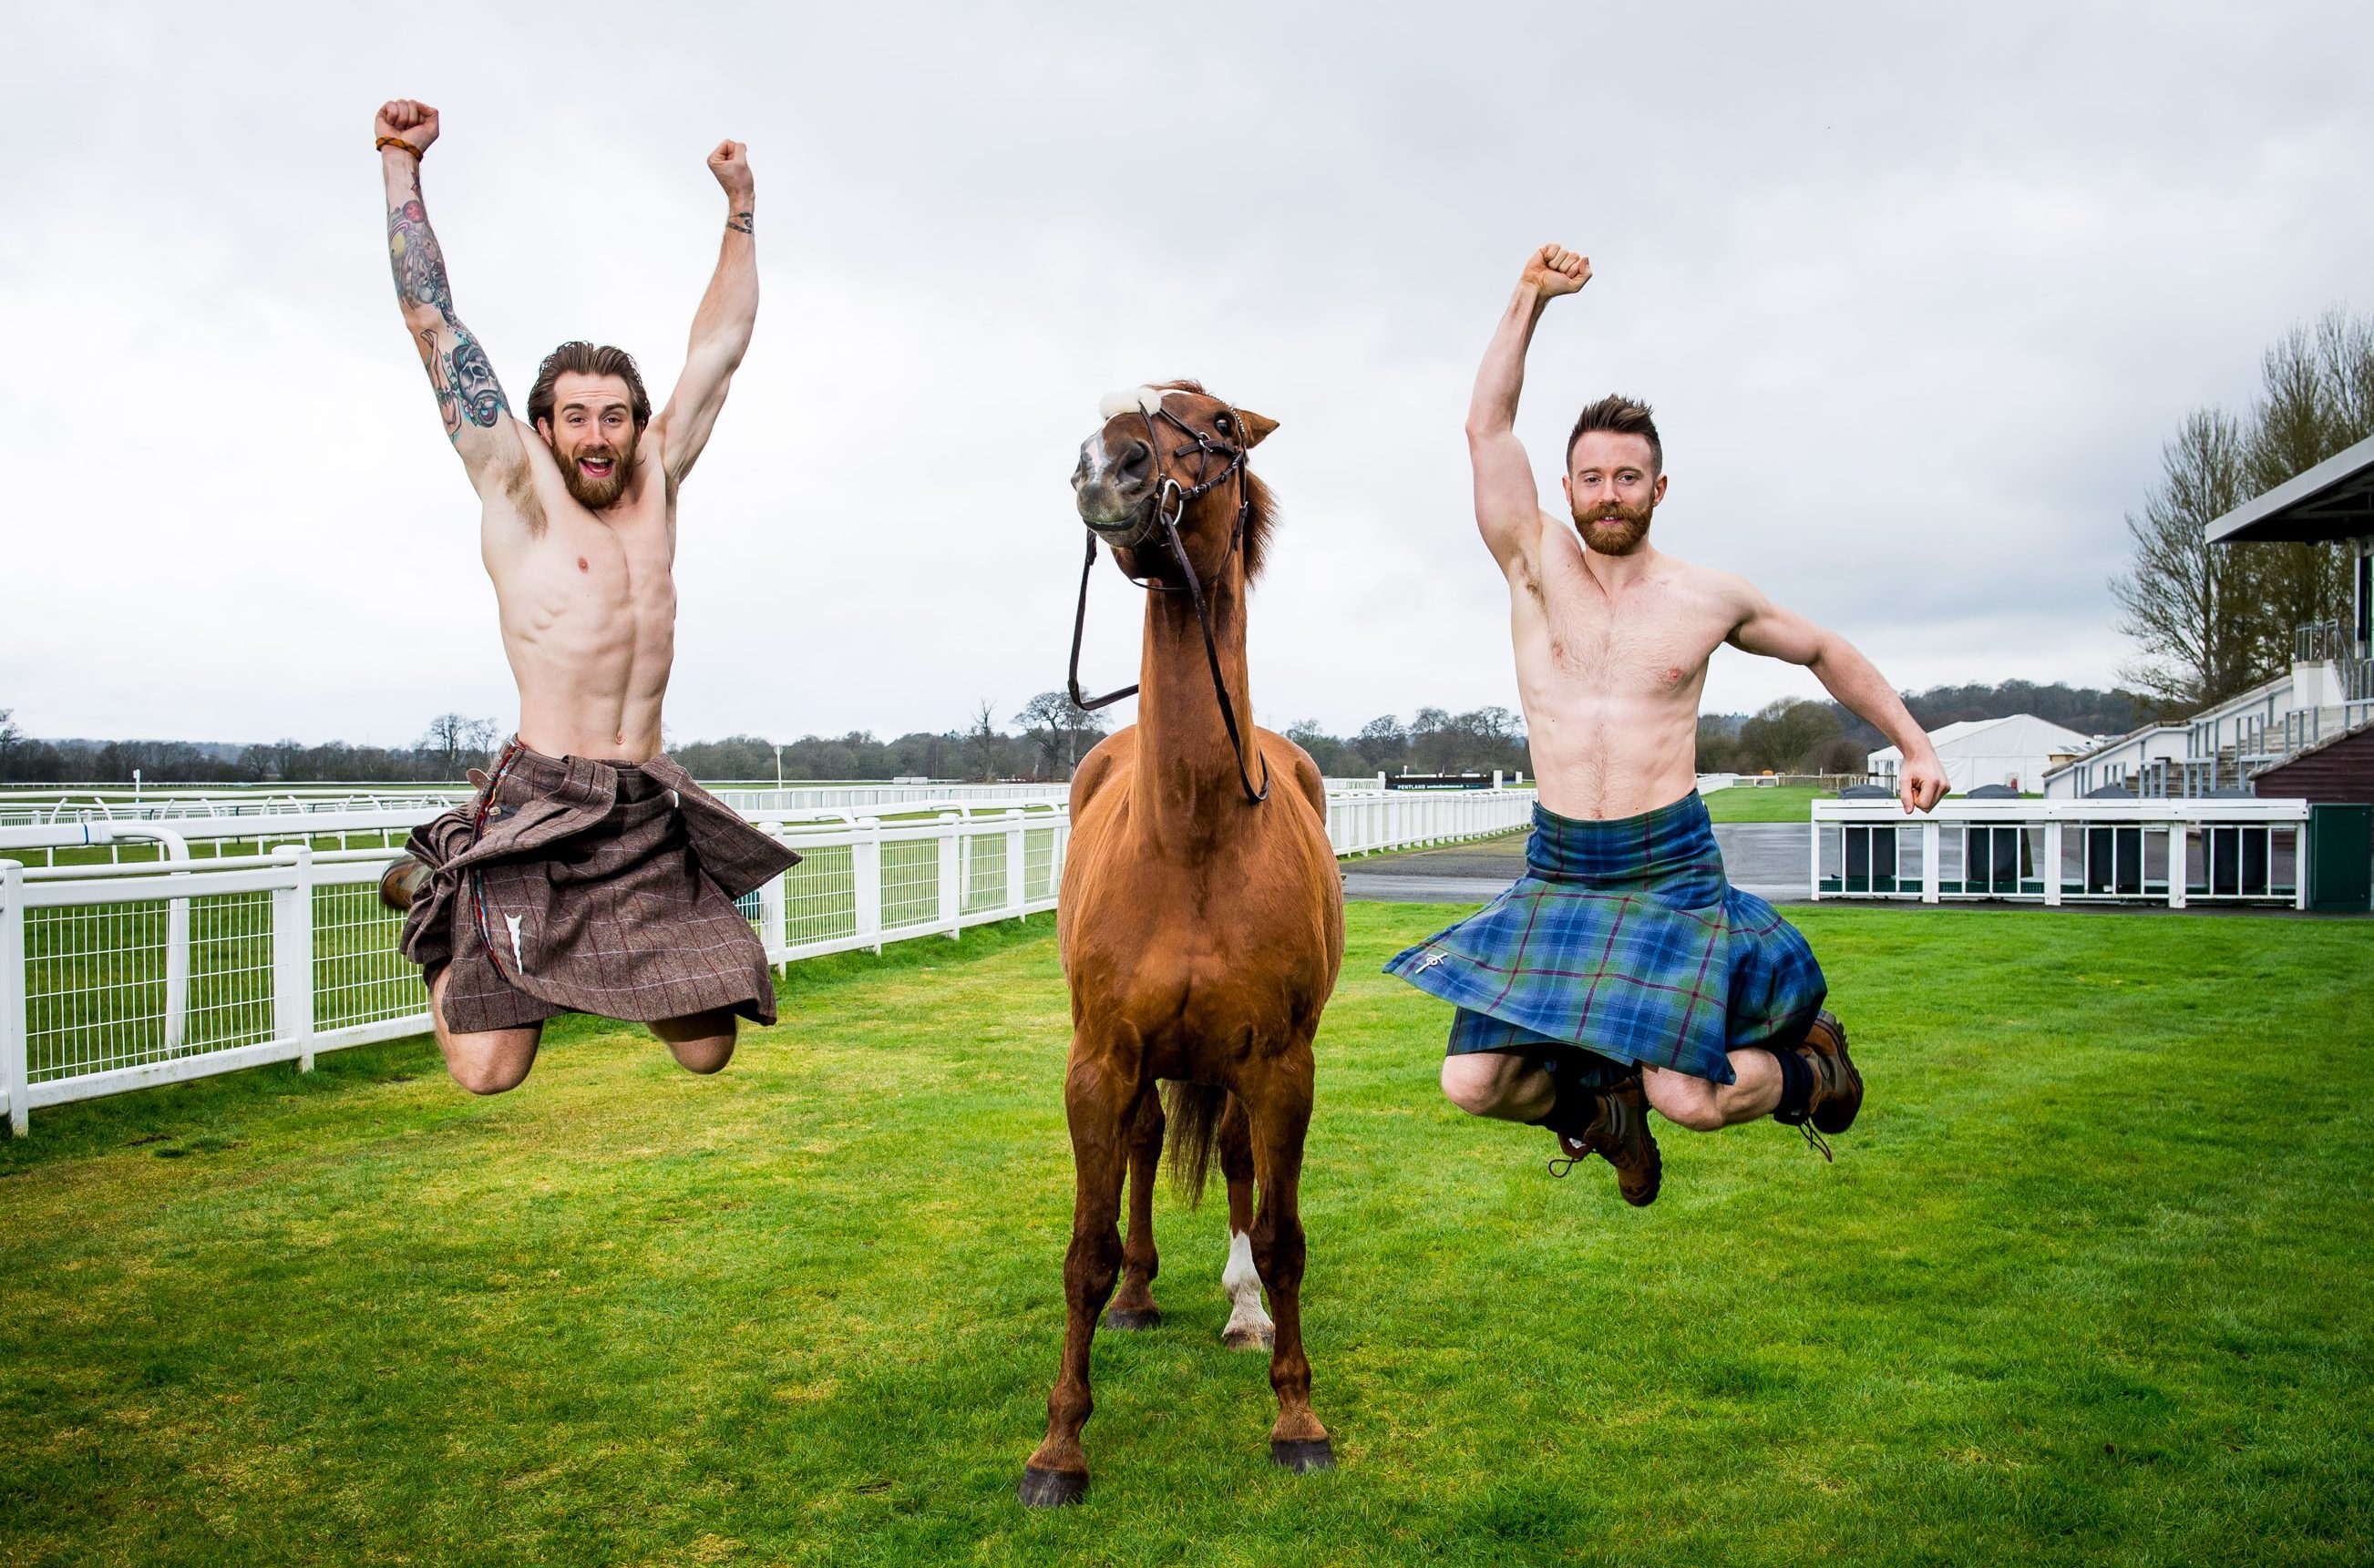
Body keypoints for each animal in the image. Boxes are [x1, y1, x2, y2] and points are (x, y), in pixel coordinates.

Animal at [1021, 379, 1348, 1508]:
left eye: (1219, 426)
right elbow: (1082, 1247)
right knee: (1145, 1145)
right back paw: (1138, 1293)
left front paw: (1297, 1416)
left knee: (1240, 1165)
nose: (1106, 466)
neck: (1196, 831)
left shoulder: (1281, 1063)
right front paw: (1059, 1444)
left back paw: (1241, 1310)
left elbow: (1284, 1237)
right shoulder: (1098, 1060)